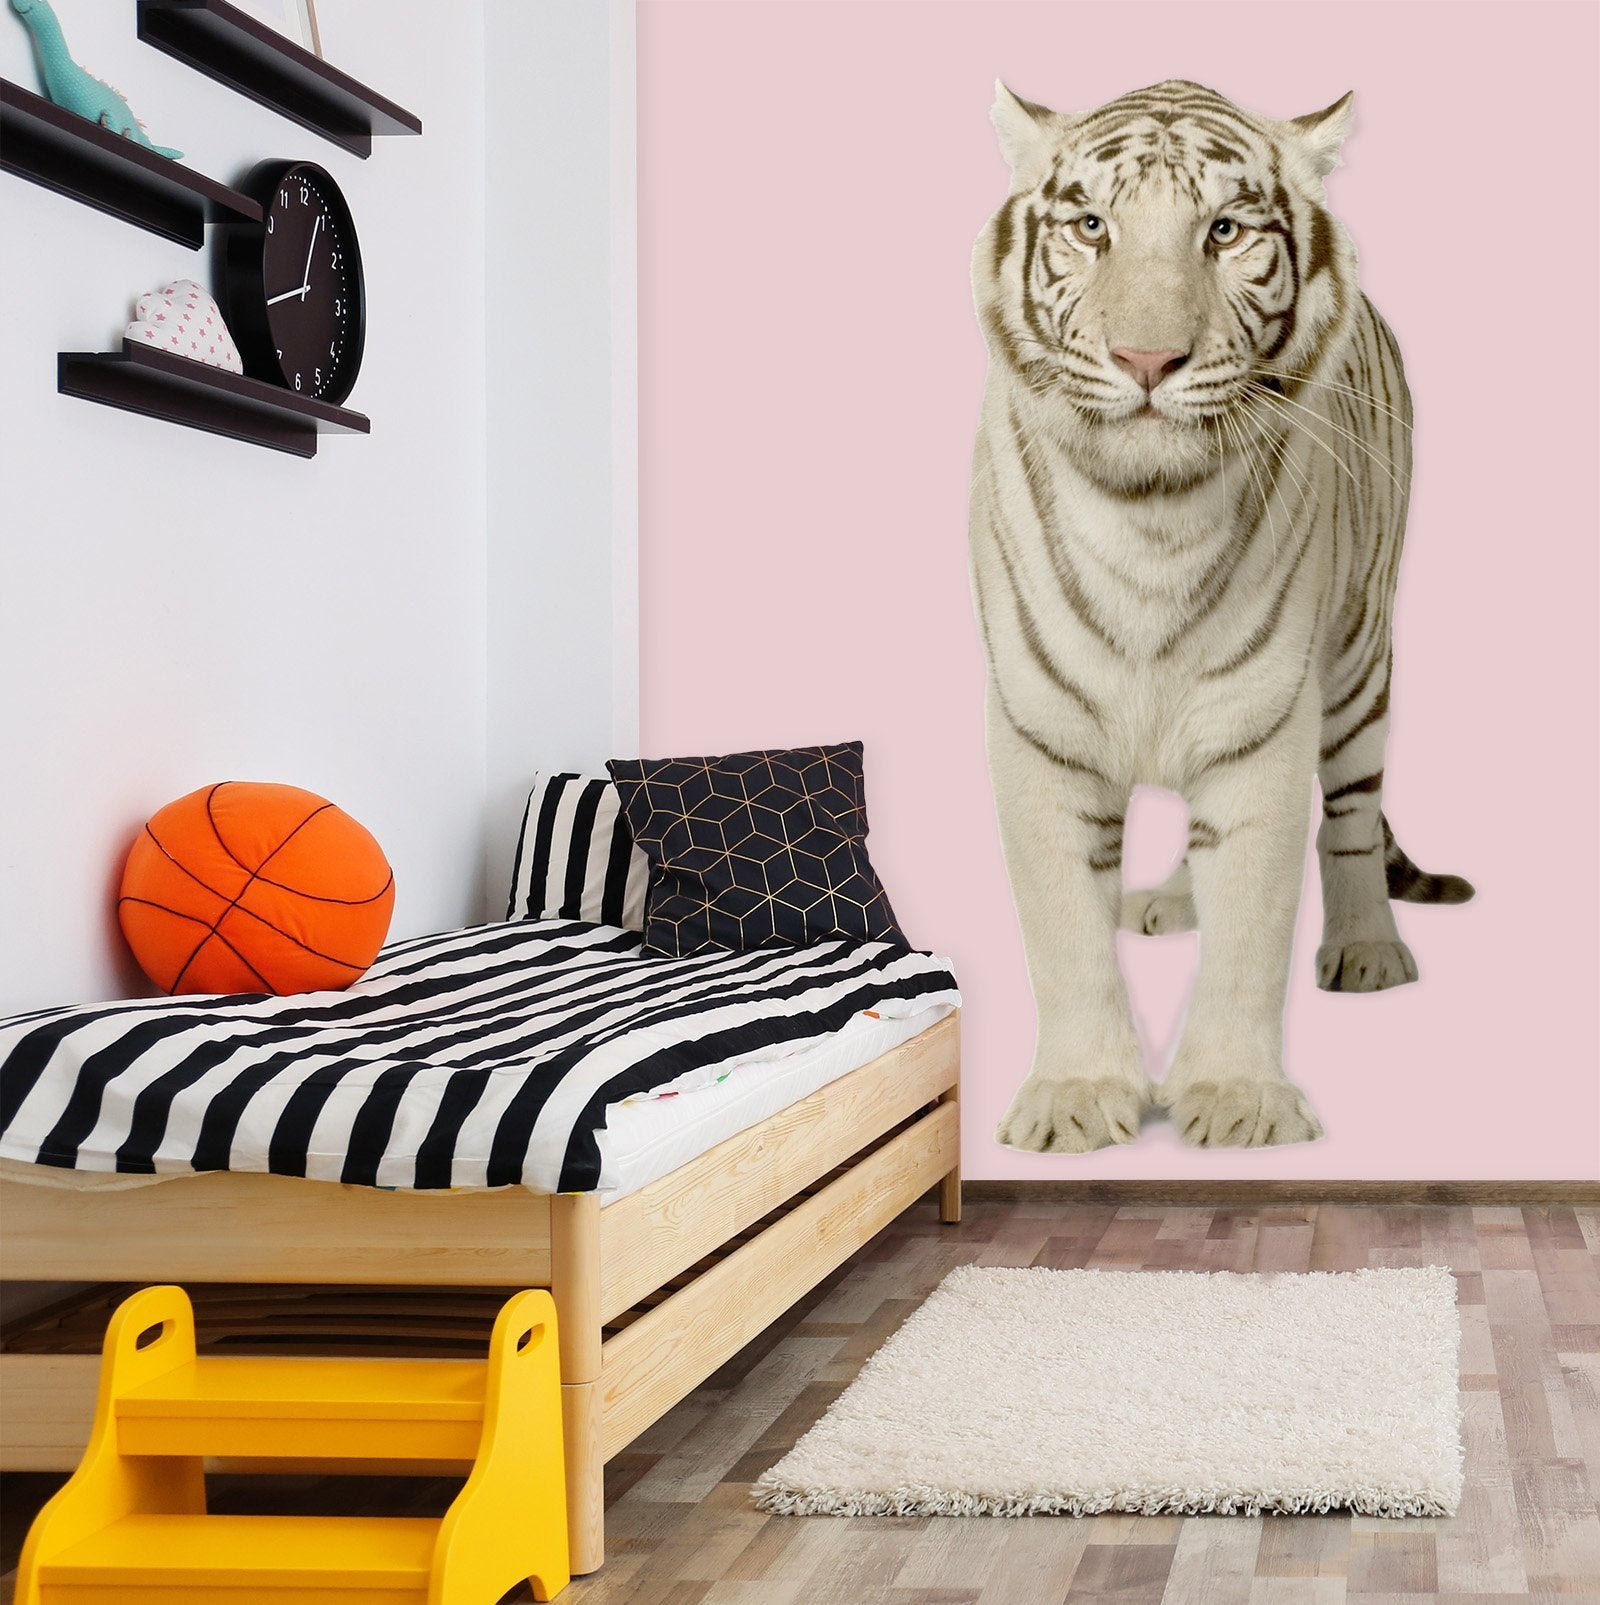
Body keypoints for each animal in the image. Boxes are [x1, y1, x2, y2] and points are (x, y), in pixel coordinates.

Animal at [967, 79, 1473, 1153]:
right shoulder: (1038, 731)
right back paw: (1165, 902)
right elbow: (1063, 929)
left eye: (1226, 231)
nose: (1147, 358)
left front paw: (1238, 1100)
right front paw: (1076, 1097)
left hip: (1360, 660)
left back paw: (1368, 949)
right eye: (1091, 227)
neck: (1148, 514)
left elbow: (1254, 922)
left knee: (1350, 819)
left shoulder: (1263, 724)